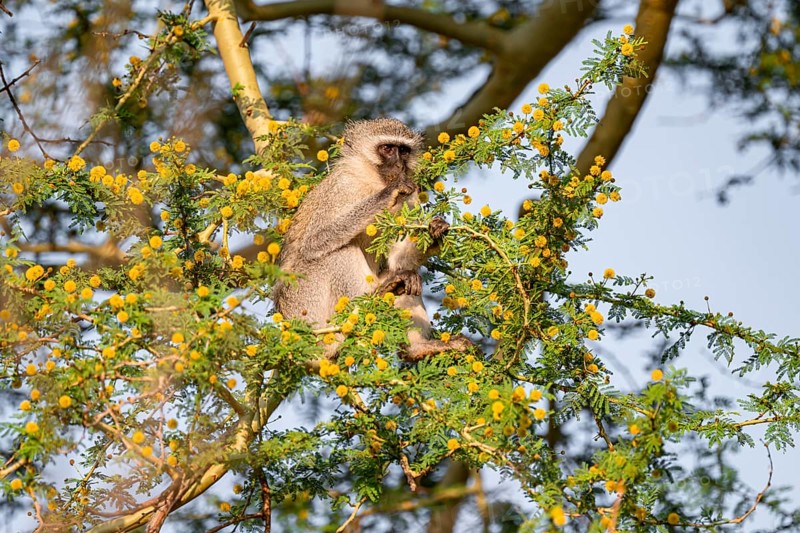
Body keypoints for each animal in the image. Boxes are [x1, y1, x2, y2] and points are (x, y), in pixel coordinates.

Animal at [273, 118, 470, 360]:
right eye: (387, 149)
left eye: (404, 151)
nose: (399, 165)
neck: (372, 182)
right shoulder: (342, 186)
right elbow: (315, 241)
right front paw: (387, 194)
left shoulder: (411, 197)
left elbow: (396, 260)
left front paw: (434, 233)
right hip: (308, 309)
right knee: (336, 252)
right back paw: (372, 298)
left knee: (406, 276)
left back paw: (417, 348)